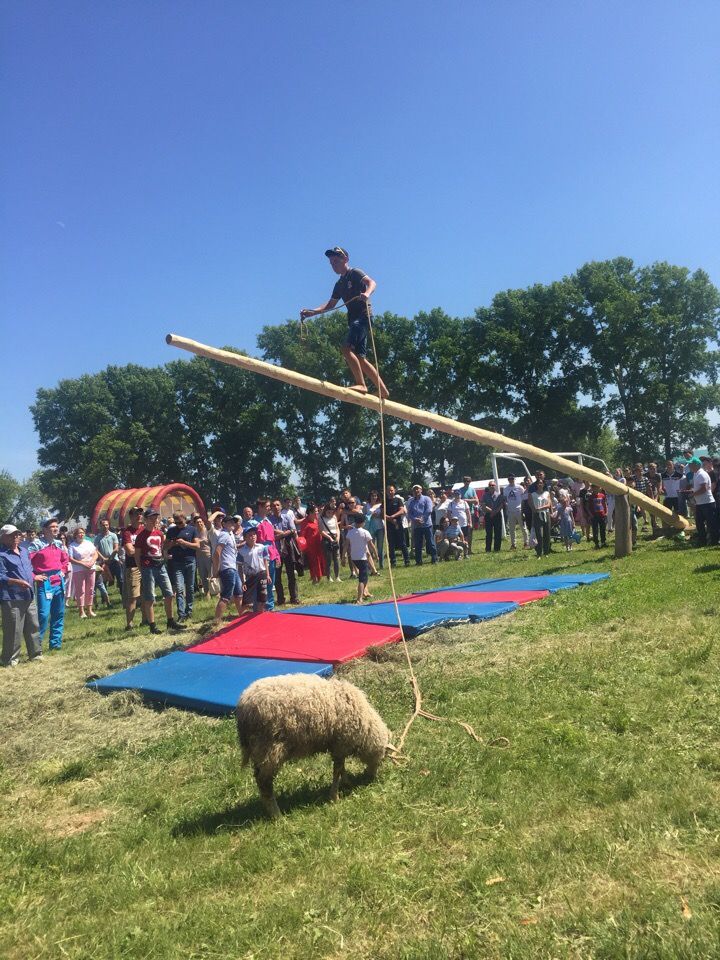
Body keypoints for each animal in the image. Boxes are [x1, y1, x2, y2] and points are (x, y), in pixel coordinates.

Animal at [236, 676, 390, 816]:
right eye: (382, 759)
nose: (371, 778)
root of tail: (243, 706)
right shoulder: (341, 744)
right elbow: (337, 770)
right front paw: (335, 796)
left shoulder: (338, 746)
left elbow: (341, 768)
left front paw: (346, 783)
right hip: (270, 748)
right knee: (264, 783)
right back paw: (276, 815)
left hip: (259, 750)